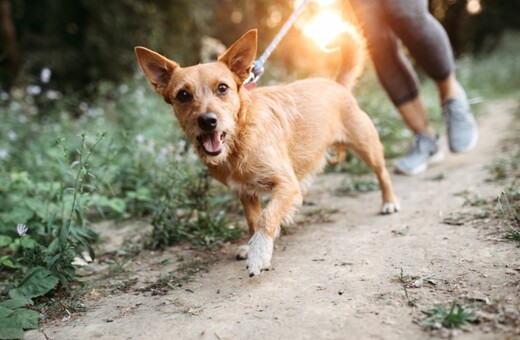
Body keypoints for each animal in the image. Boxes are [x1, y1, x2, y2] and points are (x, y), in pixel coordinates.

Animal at [134, 28, 398, 276]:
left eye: (222, 88)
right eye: (183, 95)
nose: (207, 121)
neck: (239, 138)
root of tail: (336, 84)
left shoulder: (285, 184)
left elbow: (266, 217)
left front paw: (259, 253)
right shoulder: (245, 193)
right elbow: (253, 220)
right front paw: (251, 245)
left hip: (367, 145)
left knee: (382, 173)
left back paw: (389, 202)